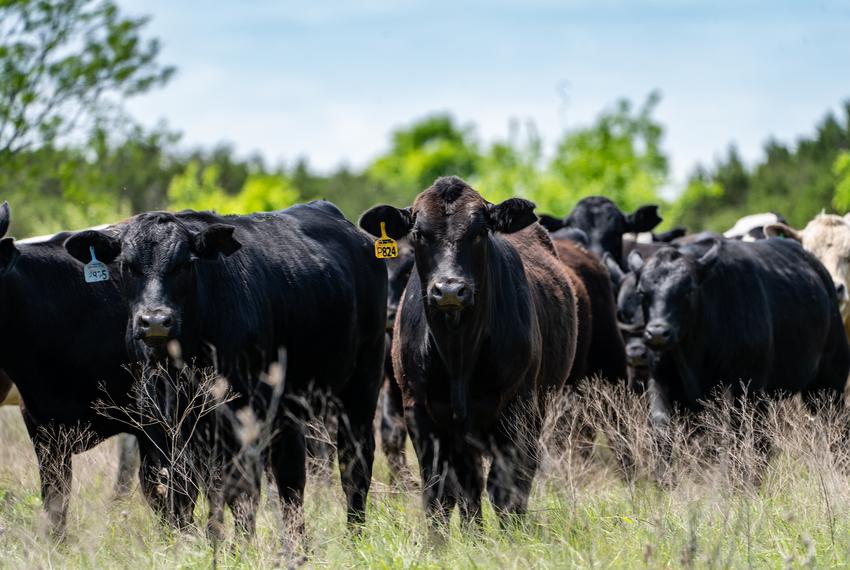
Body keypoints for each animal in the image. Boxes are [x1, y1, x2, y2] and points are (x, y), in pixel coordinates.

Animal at [64, 202, 382, 536]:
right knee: (291, 480)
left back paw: (354, 535)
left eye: (184, 265)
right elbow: (178, 491)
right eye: (127, 266)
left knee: (355, 463)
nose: (155, 321)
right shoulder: (158, 425)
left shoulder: (236, 419)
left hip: (362, 385)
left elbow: (237, 493)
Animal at [636, 237, 848, 472]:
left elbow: (739, 439)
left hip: (828, 385)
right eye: (642, 293)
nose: (657, 332)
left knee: (834, 430)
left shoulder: (745, 388)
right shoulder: (660, 381)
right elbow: (662, 429)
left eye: (689, 290)